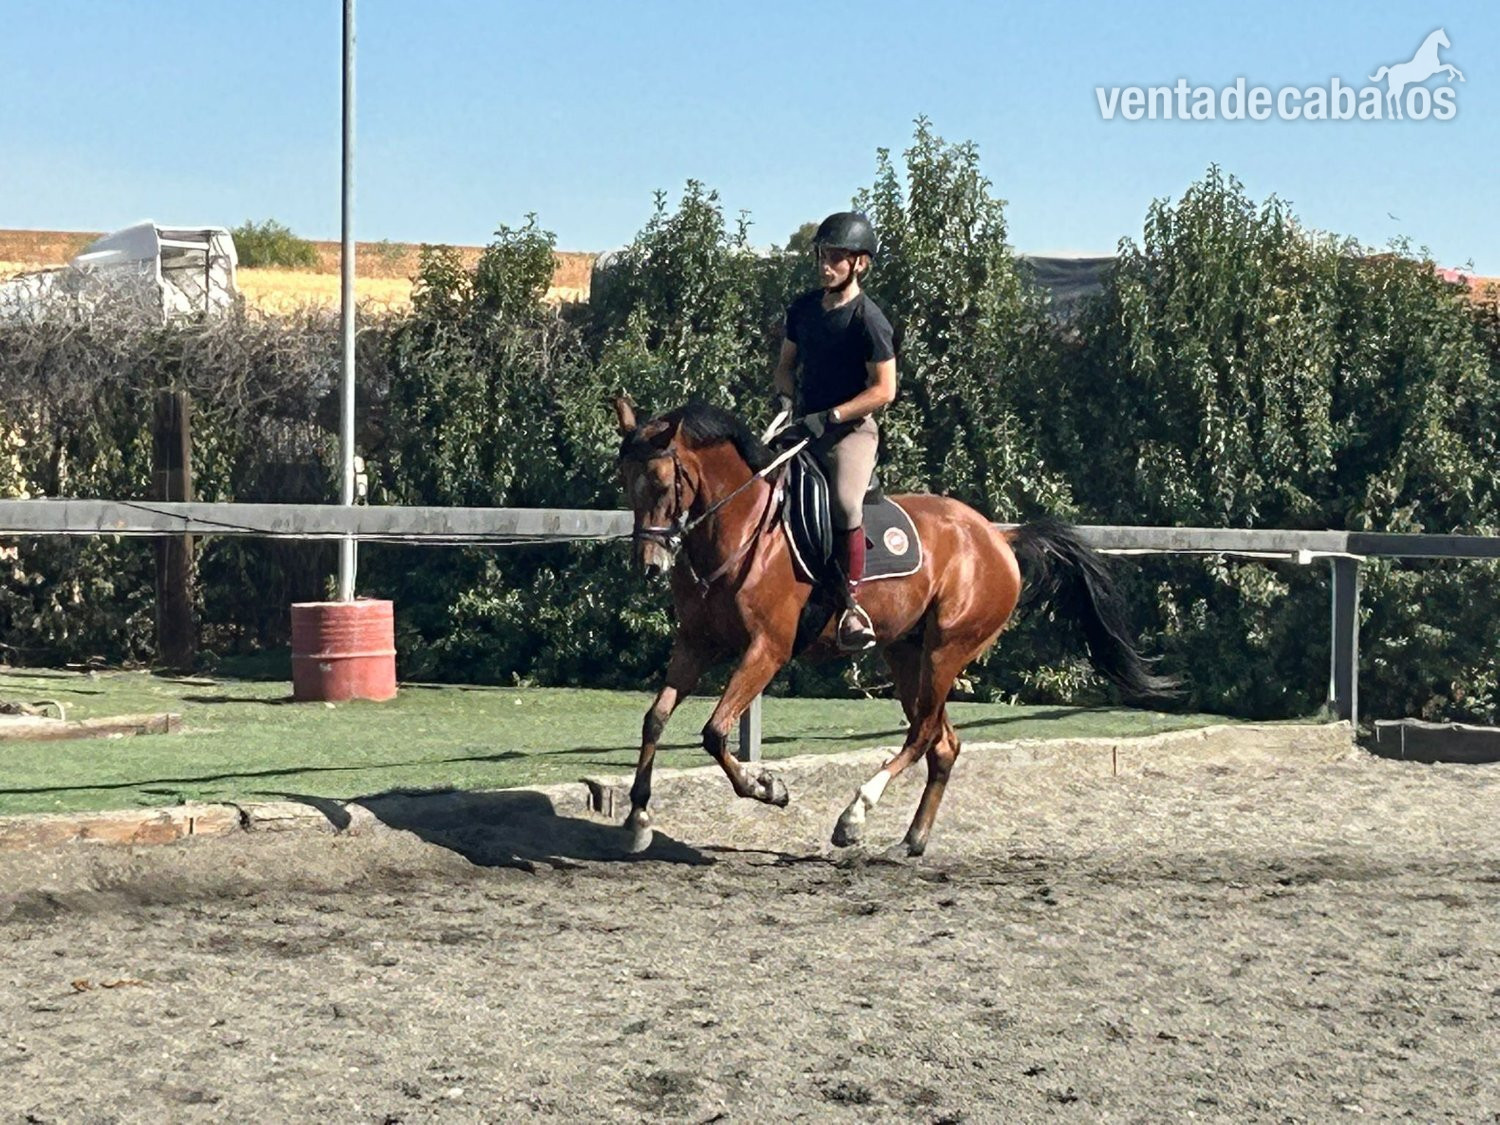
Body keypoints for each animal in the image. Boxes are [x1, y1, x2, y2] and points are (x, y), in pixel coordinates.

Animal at [614, 396, 1177, 857]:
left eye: (662, 483)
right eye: (626, 484)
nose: (649, 565)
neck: (740, 529)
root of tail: (997, 536)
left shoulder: (766, 650)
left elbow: (714, 732)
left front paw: (767, 788)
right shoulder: (696, 642)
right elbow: (654, 719)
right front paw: (638, 817)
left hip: (947, 649)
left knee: (923, 733)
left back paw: (855, 815)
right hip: (906, 652)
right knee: (943, 744)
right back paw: (913, 839)